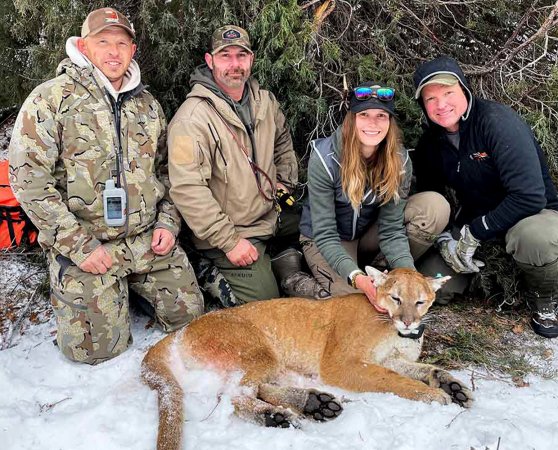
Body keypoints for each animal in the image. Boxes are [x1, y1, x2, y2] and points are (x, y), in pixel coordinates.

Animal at [142, 268, 474, 450]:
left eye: (420, 301)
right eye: (396, 298)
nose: (408, 322)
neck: (393, 330)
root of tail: (183, 330)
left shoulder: (390, 358)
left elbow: (426, 368)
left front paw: (453, 386)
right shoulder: (340, 364)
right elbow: (393, 380)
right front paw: (433, 395)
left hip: (277, 362)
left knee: (257, 387)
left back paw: (314, 404)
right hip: (260, 350)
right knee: (235, 394)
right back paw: (277, 416)